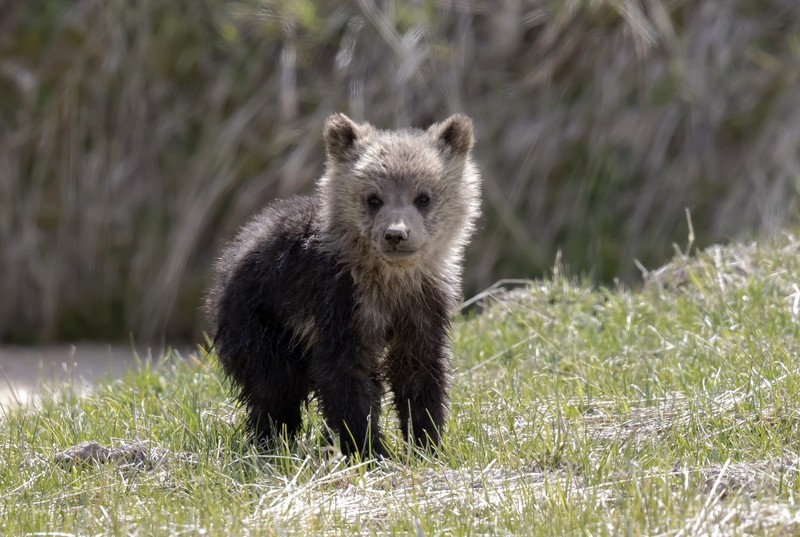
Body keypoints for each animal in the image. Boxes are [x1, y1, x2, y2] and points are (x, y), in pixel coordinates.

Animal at [206, 113, 481, 458]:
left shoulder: (424, 303)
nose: (396, 234)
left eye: (423, 197)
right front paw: (370, 448)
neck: (390, 281)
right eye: (373, 198)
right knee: (274, 385)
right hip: (260, 319)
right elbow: (345, 373)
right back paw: (271, 442)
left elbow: (419, 369)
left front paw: (426, 442)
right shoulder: (339, 300)